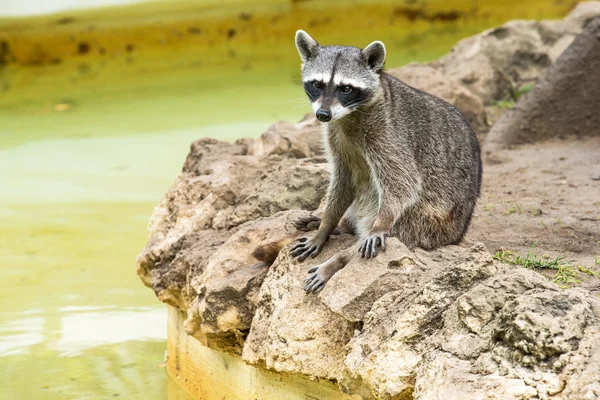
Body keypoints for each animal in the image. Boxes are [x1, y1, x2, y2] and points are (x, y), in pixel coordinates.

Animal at [255, 30, 480, 294]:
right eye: (317, 84)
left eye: (346, 88)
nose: (322, 114)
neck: (349, 115)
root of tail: (457, 233)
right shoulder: (336, 136)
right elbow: (342, 180)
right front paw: (325, 226)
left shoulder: (388, 133)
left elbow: (404, 180)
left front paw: (378, 224)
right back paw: (338, 226)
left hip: (427, 222)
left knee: (385, 234)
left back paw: (337, 261)